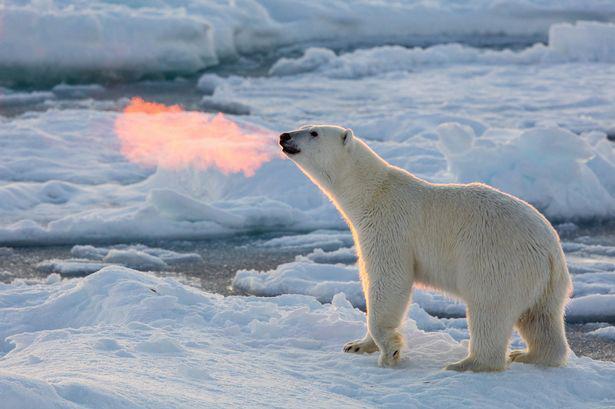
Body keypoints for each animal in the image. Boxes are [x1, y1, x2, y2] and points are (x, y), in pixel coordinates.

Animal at [280, 124, 572, 370]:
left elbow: (388, 280)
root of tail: (550, 251)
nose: (284, 136)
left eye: (313, 132)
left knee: (489, 309)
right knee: (541, 318)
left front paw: (390, 352)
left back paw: (467, 363)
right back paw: (528, 355)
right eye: (304, 125)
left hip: (499, 261)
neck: (371, 192)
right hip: (546, 283)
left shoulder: (389, 226)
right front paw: (357, 345)